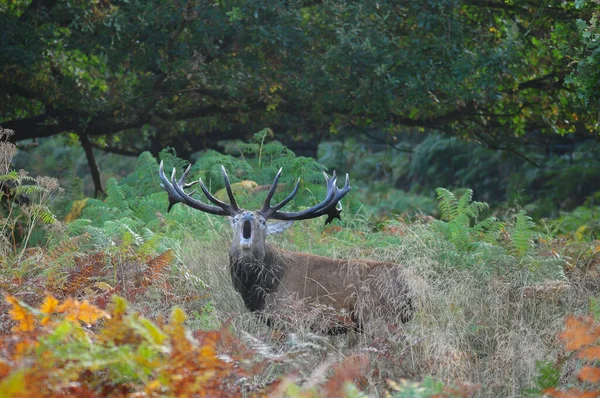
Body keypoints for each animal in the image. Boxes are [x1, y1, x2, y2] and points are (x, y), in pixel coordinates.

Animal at [157, 162, 414, 332]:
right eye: (235, 219)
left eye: (263, 221)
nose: (248, 216)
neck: (262, 288)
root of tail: (410, 286)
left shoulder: (293, 319)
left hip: (378, 317)